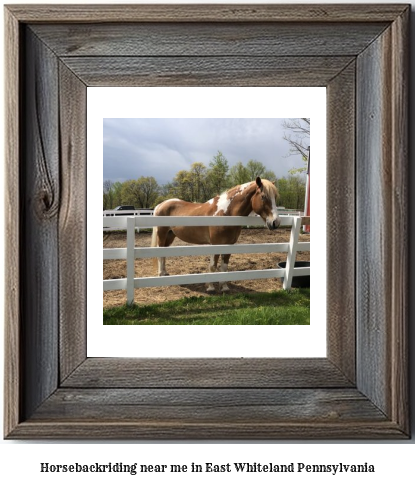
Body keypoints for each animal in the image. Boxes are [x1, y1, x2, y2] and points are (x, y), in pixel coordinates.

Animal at [151, 177, 282, 292]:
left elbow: (224, 267)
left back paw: (165, 272)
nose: (275, 222)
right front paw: (210, 287)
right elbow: (213, 266)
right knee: (160, 253)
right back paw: (161, 274)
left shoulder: (228, 245)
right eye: (263, 197)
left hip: (170, 236)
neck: (225, 213)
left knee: (164, 253)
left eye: (275, 197)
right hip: (162, 234)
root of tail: (160, 205)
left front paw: (224, 287)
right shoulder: (215, 244)